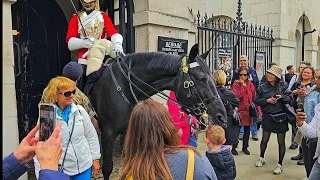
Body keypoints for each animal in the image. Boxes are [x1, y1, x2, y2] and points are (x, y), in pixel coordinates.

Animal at [87, 44, 228, 179]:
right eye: (201, 79)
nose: (222, 116)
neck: (124, 86)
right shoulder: (107, 134)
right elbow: (107, 168)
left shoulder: (129, 131)